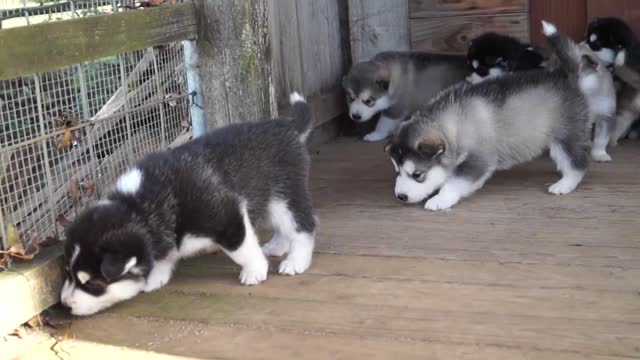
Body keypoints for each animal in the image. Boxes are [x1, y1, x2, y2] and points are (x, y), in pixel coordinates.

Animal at [61, 92, 316, 316]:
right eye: (68, 273)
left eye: (93, 283)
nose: (64, 304)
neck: (137, 206)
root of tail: (284, 124)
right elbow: (164, 256)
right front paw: (156, 276)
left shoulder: (226, 214)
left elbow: (241, 248)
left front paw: (255, 270)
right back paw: (277, 246)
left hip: (284, 195)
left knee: (303, 226)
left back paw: (296, 261)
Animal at [384, 25, 592, 211]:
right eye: (397, 171)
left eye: (418, 174)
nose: (400, 196)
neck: (454, 123)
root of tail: (566, 76)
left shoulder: (478, 160)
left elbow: (455, 182)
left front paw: (440, 199)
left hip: (565, 136)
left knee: (576, 163)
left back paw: (564, 184)